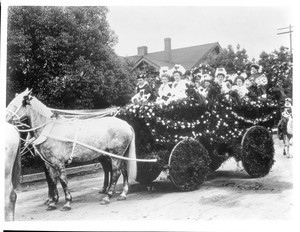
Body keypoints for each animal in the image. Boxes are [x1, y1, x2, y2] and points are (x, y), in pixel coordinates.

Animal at [6, 88, 137, 210]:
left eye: (16, 104)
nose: (6, 119)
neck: (50, 129)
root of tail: (126, 124)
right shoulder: (49, 163)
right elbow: (52, 180)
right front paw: (52, 202)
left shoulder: (58, 162)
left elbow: (63, 180)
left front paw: (67, 202)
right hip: (117, 155)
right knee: (122, 170)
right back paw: (123, 193)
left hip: (115, 155)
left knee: (116, 172)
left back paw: (107, 196)